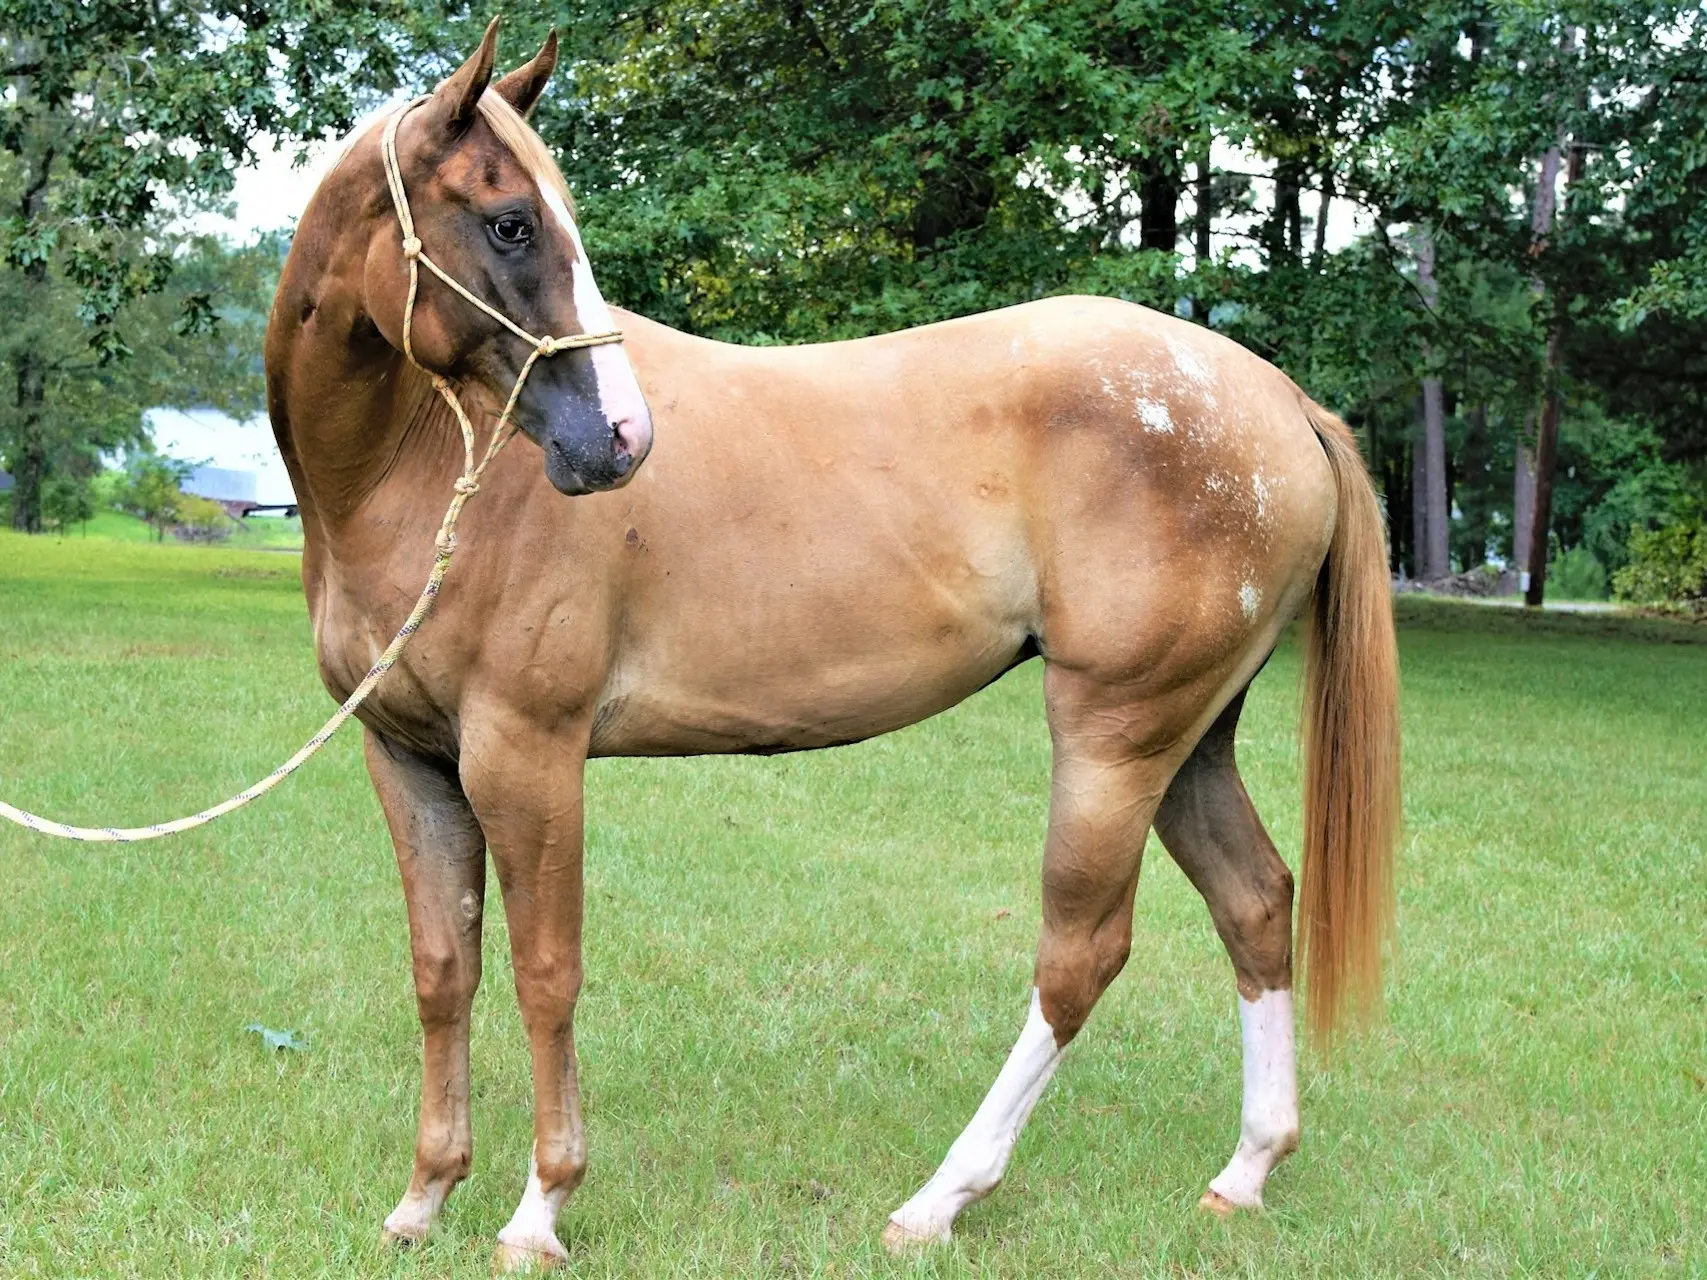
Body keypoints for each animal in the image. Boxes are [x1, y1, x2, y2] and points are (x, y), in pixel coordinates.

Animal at [264, 20, 1399, 1270]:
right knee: (1256, 902)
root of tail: (1281, 399)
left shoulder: (527, 755)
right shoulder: (409, 757)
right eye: (511, 220)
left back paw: (940, 1196)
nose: (620, 438)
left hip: (1116, 736)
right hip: (1190, 740)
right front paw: (425, 1194)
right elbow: (443, 968)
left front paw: (538, 1208)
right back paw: (1244, 1170)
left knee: (1080, 954)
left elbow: (546, 973)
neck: (423, 471)